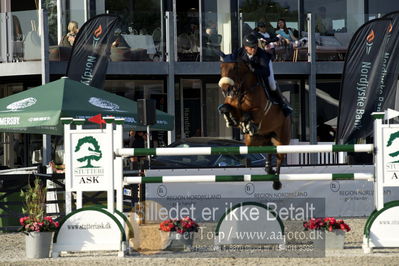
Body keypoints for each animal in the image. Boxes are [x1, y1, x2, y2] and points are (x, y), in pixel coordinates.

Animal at [217, 59, 292, 190]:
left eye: (234, 68)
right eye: (221, 67)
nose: (225, 88)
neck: (243, 90)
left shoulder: (259, 111)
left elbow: (248, 114)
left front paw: (246, 123)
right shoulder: (233, 106)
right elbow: (226, 108)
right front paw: (230, 119)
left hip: (282, 138)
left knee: (279, 157)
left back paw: (276, 182)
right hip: (256, 140)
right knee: (268, 150)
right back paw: (268, 169)